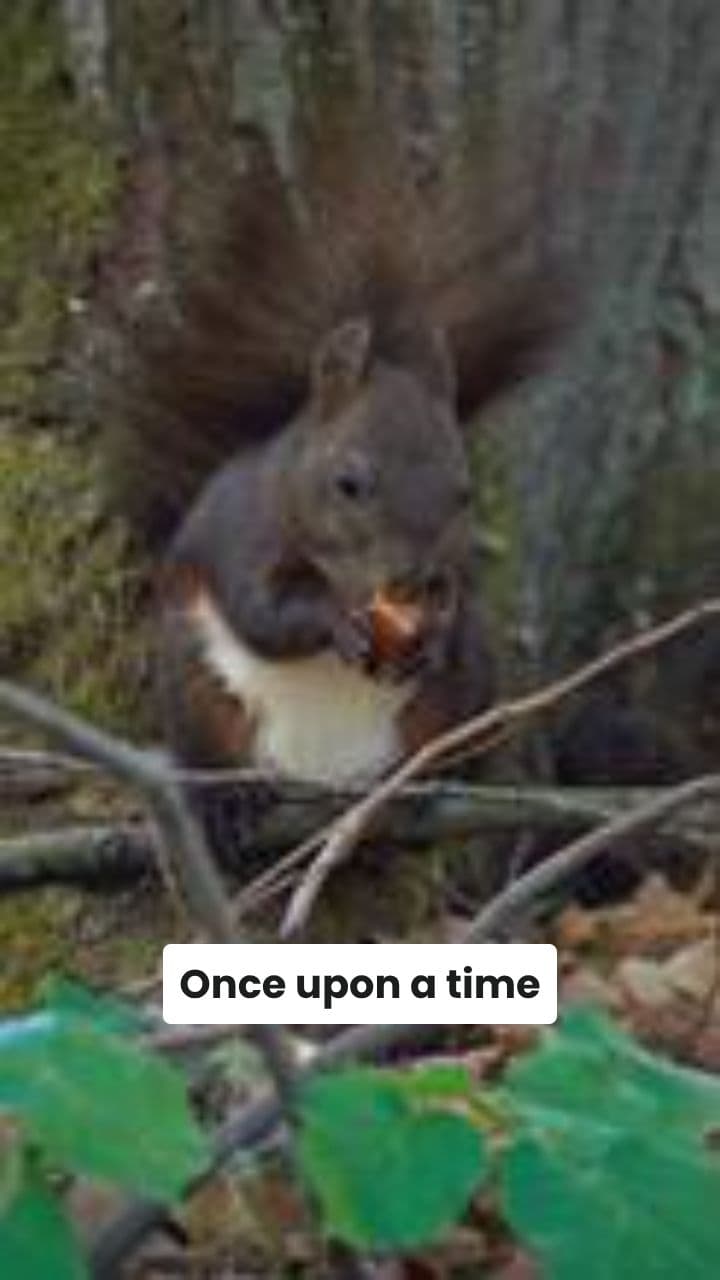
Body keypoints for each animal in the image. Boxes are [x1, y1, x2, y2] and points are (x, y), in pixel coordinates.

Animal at [106, 117, 572, 856]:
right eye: (349, 483)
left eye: (465, 492)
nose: (413, 580)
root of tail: (325, 780)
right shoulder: (244, 541)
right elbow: (263, 613)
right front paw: (336, 621)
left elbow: (459, 599)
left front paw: (435, 624)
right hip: (194, 679)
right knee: (211, 744)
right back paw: (229, 802)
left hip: (468, 686)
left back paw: (424, 786)